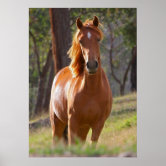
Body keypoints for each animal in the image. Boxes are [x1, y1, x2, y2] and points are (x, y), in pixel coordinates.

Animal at [48, 15, 112, 145]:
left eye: (98, 39)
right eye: (81, 41)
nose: (91, 65)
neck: (92, 91)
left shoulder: (98, 125)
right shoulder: (73, 123)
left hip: (84, 128)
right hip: (57, 123)